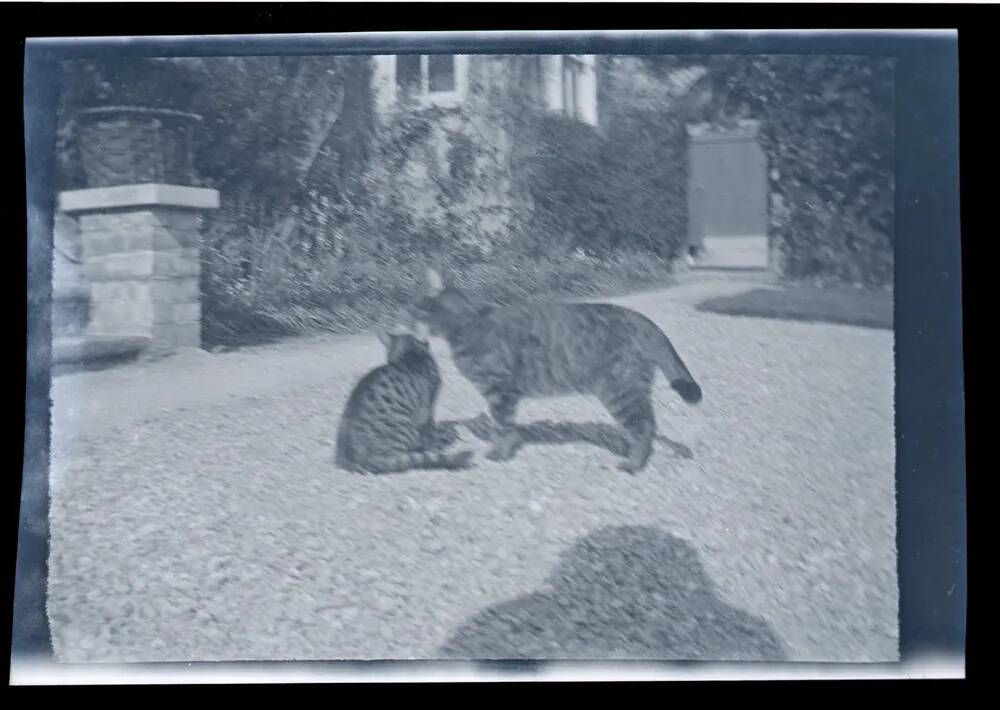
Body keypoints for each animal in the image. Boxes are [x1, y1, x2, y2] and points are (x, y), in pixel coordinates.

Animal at [408, 270, 704, 476]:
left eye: (414, 305)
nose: (403, 315)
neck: (466, 324)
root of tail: (643, 320)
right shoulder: (504, 395)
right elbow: (507, 427)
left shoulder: (500, 391)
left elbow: (501, 427)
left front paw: (499, 452)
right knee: (647, 425)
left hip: (620, 391)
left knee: (644, 427)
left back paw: (632, 463)